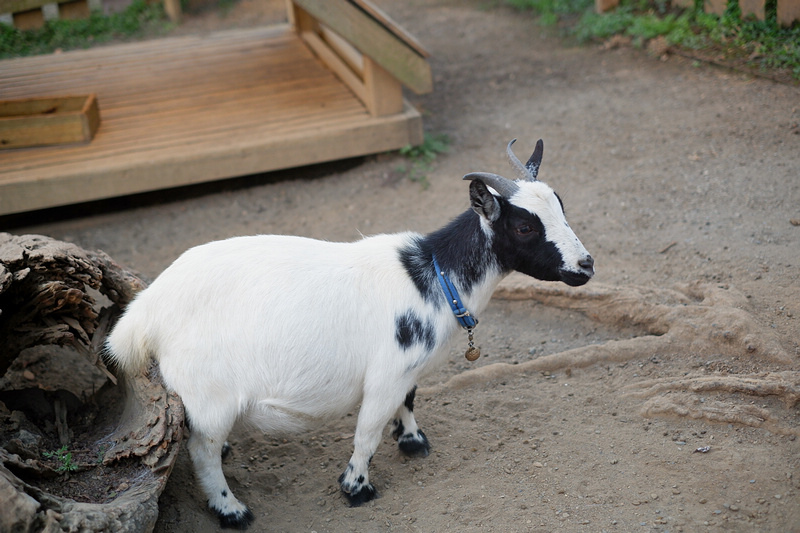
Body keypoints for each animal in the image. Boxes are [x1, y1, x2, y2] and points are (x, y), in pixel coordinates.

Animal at [104, 138, 592, 528]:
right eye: (525, 225)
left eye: (562, 208)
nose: (586, 266)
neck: (434, 276)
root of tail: (146, 311)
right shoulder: (385, 375)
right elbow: (367, 432)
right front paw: (357, 489)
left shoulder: (405, 368)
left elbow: (409, 400)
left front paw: (412, 441)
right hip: (209, 389)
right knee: (202, 450)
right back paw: (232, 511)